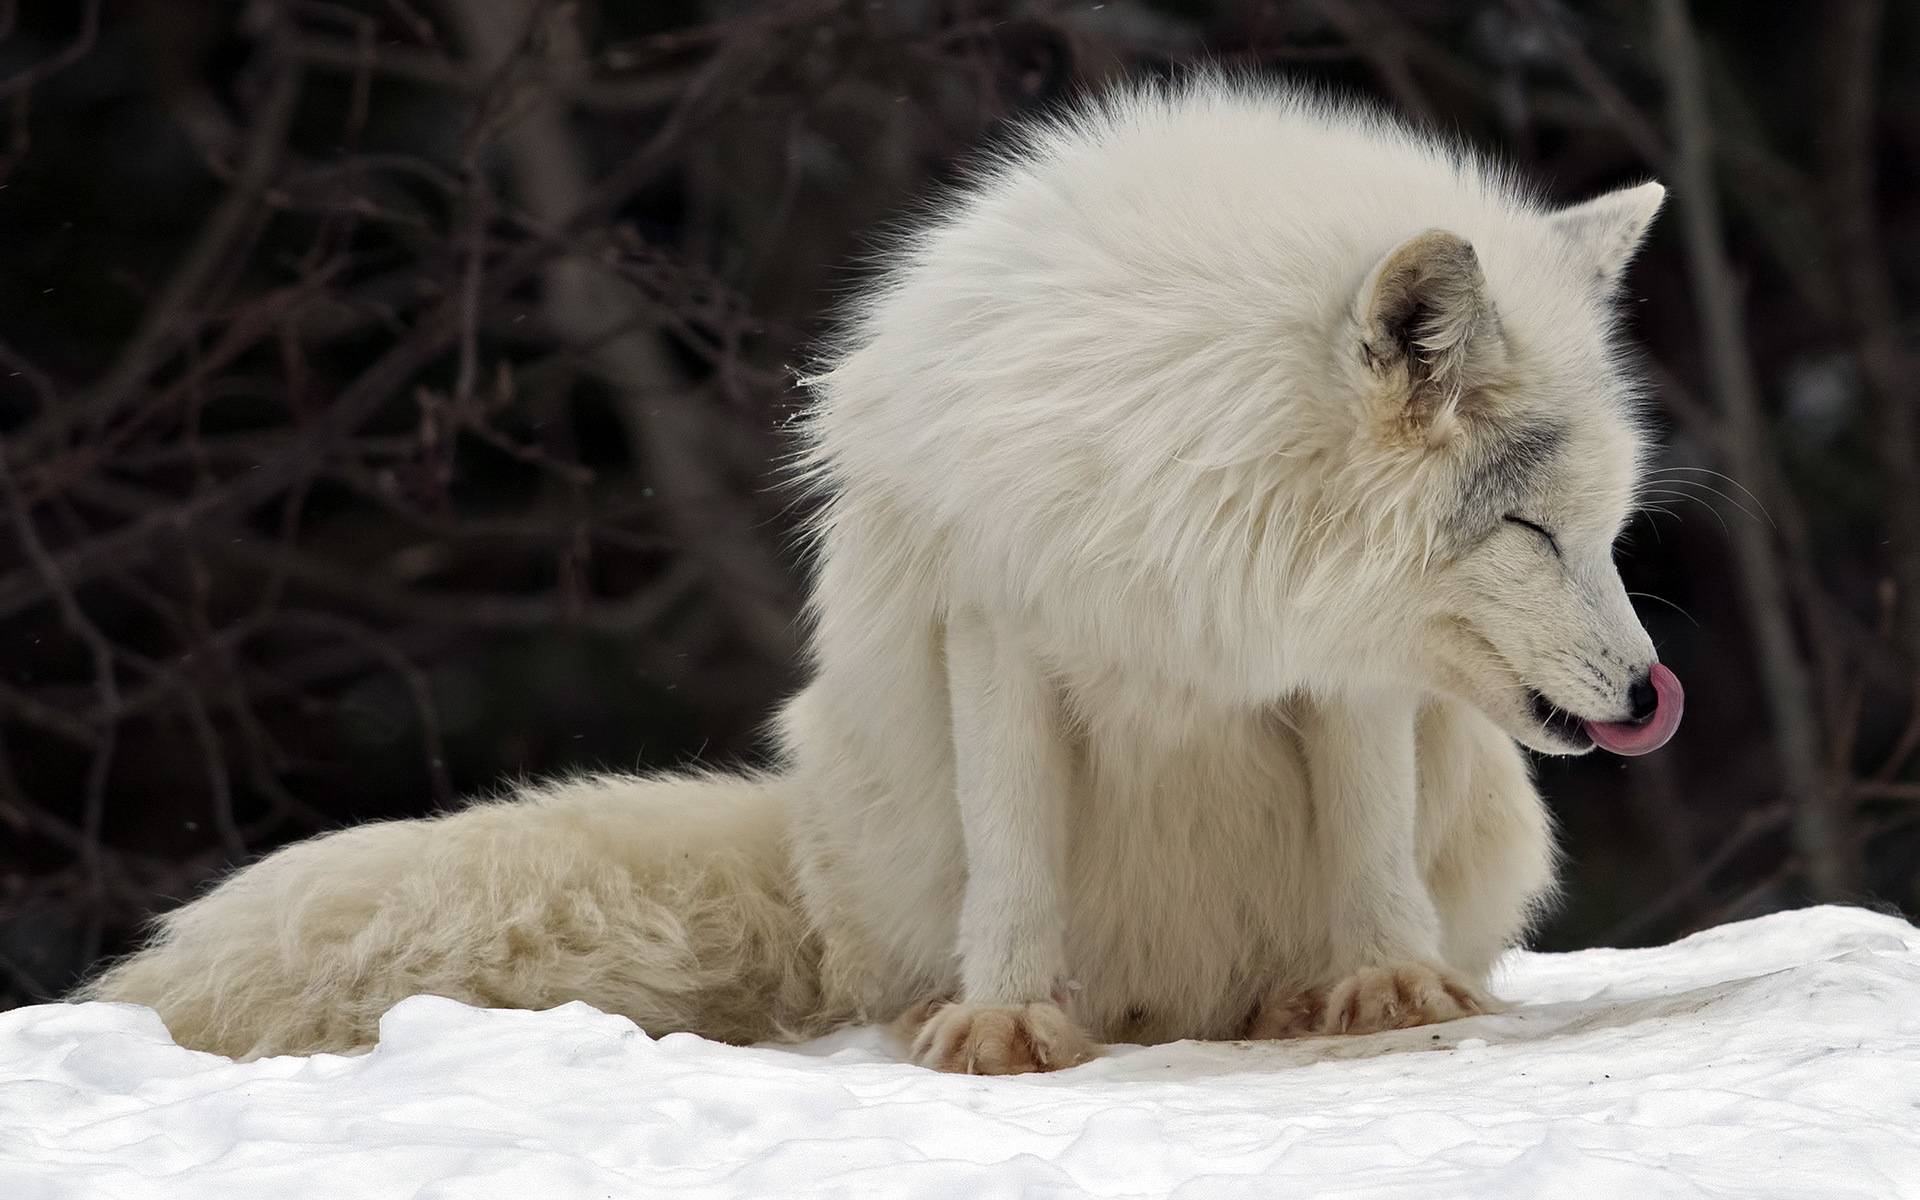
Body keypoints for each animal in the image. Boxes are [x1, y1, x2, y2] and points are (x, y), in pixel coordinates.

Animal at [82, 84, 1681, 1075]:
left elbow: (1368, 850)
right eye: (1531, 533)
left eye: (1604, 532)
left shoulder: (1330, 663)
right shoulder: (999, 615)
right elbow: (1015, 856)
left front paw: (1385, 994)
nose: (1651, 695)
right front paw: (1006, 1029)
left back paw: (1297, 1000)